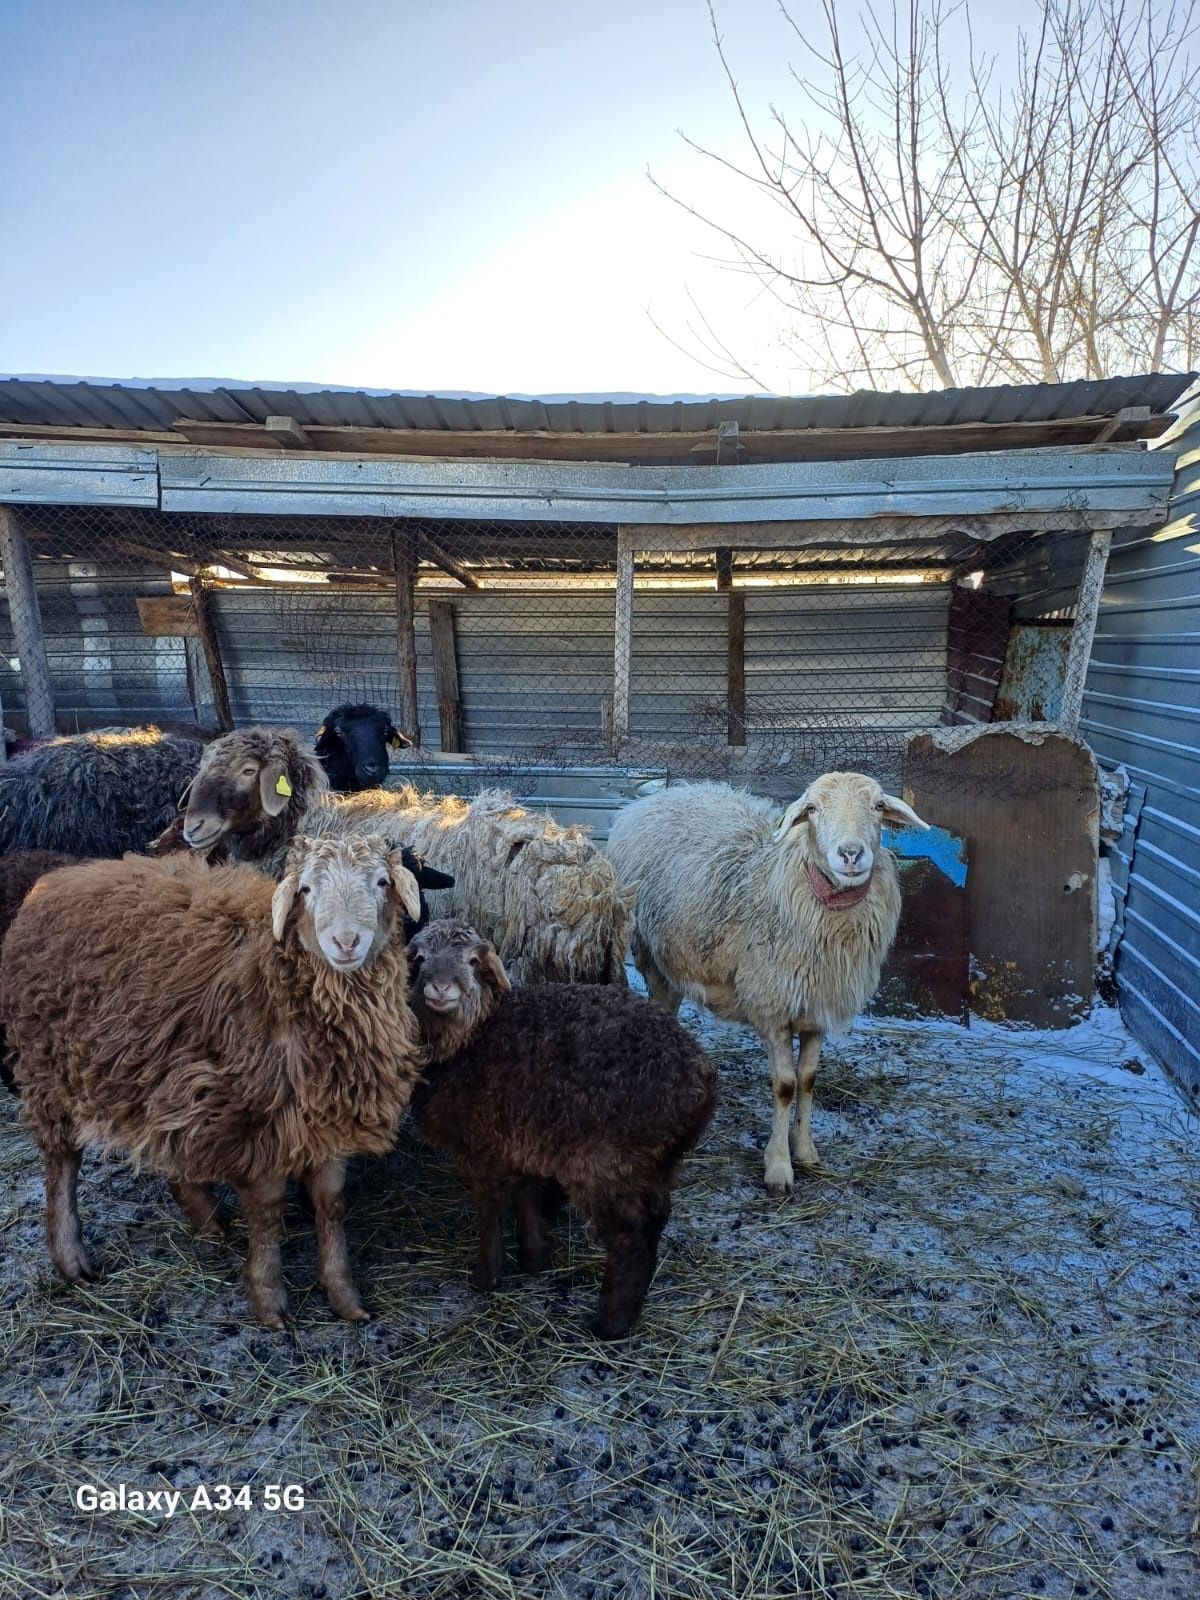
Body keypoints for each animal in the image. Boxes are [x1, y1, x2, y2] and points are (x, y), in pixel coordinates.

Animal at [0, 838, 428, 1324]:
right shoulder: (252, 1120)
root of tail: (59, 880)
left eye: (381, 881)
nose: (346, 941)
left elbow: (331, 1205)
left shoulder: (328, 1117)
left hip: (154, 1069)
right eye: (305, 889)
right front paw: (268, 1297)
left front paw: (343, 1294)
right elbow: (268, 1210)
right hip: (50, 1067)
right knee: (62, 1163)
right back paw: (71, 1256)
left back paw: (206, 1216)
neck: (278, 983)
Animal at [409, 921, 720, 1344]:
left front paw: (486, 1277)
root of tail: (699, 1084)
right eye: (421, 958)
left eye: (472, 961)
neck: (473, 1040)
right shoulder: (519, 1137)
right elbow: (525, 1194)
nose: (440, 988)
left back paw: (610, 1323)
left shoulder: (482, 1144)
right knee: (657, 1216)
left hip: (608, 1160)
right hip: (654, 1162)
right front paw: (534, 1258)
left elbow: (489, 1209)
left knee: (632, 1232)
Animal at [611, 774, 928, 1203]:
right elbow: (785, 1086)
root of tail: (659, 796)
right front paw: (778, 1167)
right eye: (812, 809)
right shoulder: (772, 1006)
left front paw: (805, 1150)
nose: (851, 853)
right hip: (651, 954)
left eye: (878, 806)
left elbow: (808, 1079)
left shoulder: (817, 1008)